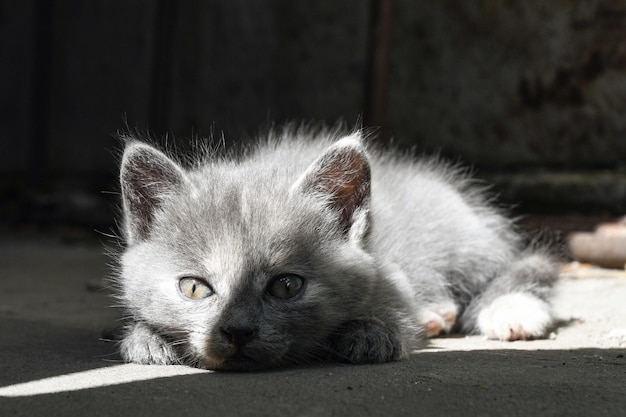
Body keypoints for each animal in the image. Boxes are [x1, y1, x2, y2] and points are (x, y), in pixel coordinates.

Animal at [116, 127, 556, 370]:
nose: (238, 331)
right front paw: (146, 338)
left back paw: (510, 309)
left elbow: (394, 308)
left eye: (287, 286)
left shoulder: (389, 272)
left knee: (524, 264)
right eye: (193, 287)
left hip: (463, 239)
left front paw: (372, 331)